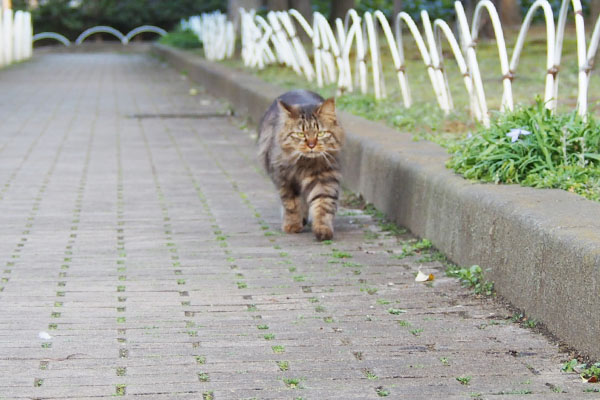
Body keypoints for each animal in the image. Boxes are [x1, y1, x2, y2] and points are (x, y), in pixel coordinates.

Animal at [256, 90, 344, 241]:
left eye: (320, 133)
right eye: (300, 134)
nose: (311, 145)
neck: (305, 164)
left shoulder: (324, 178)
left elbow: (323, 205)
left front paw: (322, 229)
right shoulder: (285, 181)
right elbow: (291, 204)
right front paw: (292, 225)